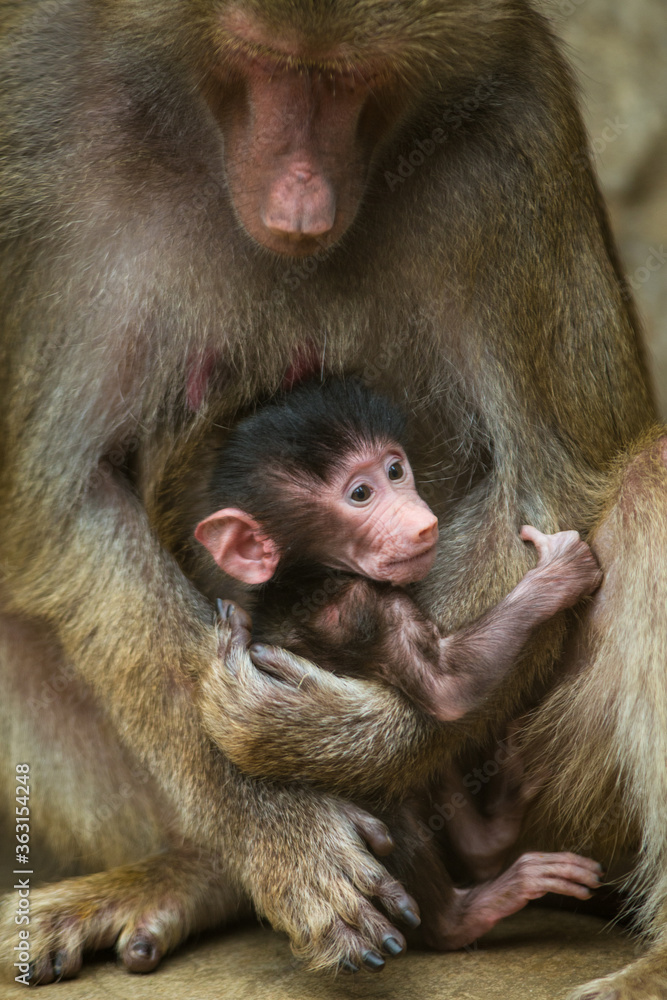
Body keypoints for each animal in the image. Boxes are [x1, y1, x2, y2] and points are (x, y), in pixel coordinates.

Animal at [193, 375, 604, 947]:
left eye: (394, 470)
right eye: (360, 495)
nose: (422, 521)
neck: (309, 572)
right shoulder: (364, 606)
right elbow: (447, 690)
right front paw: (557, 575)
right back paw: (467, 911)